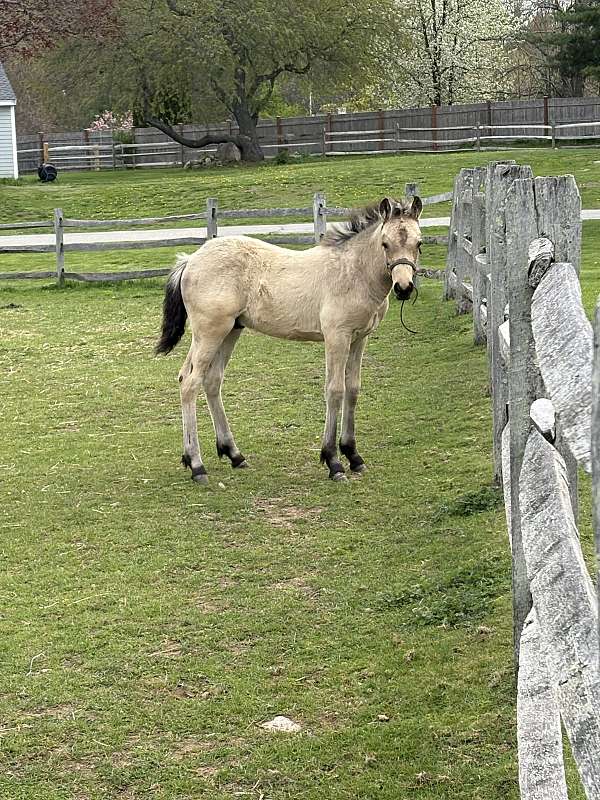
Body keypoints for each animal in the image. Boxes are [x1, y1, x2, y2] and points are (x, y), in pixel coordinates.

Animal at [156, 195, 423, 485]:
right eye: (385, 244)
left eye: (419, 243)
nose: (404, 288)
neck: (353, 272)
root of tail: (190, 259)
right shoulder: (336, 337)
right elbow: (335, 390)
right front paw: (333, 461)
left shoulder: (359, 338)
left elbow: (353, 390)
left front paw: (353, 455)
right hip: (210, 332)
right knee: (190, 383)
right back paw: (197, 465)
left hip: (229, 331)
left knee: (209, 380)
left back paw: (233, 454)